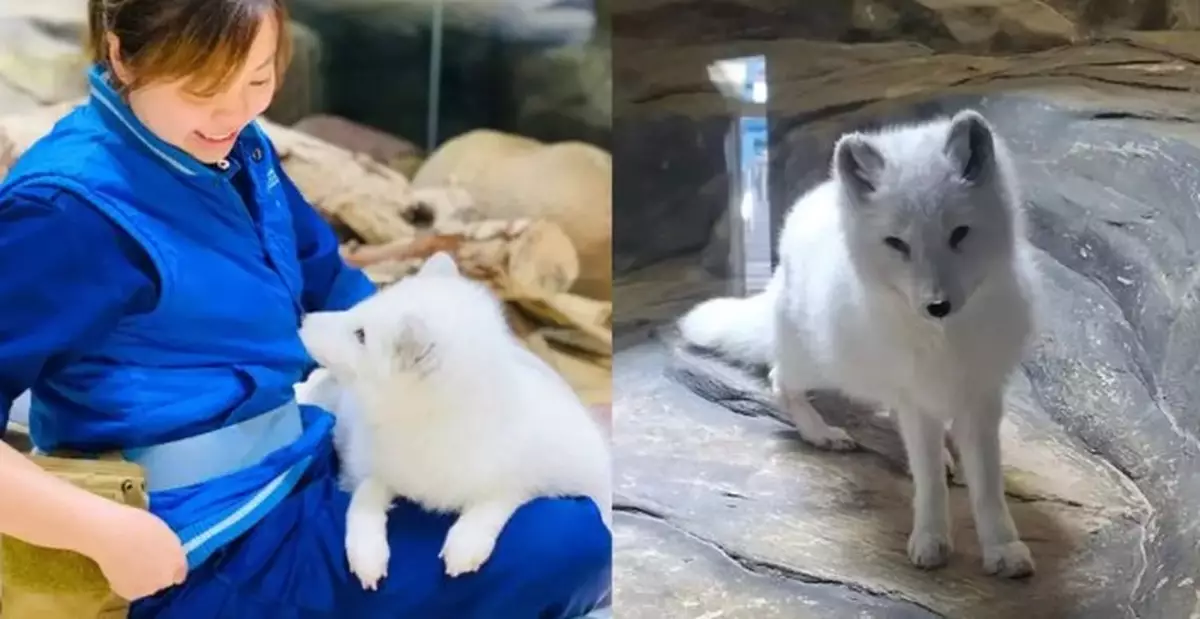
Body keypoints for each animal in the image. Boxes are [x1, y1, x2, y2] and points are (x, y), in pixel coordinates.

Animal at [297, 252, 612, 590]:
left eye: (361, 335)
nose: (305, 320)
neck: (429, 429)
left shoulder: (528, 477)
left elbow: (499, 498)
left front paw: (466, 542)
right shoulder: (372, 468)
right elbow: (364, 498)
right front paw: (366, 553)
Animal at [676, 110, 1039, 579]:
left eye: (959, 234)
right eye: (897, 243)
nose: (937, 305)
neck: (942, 343)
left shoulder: (980, 398)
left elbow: (988, 486)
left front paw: (1003, 548)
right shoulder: (916, 400)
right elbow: (928, 482)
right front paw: (931, 539)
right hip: (823, 363)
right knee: (779, 379)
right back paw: (821, 433)